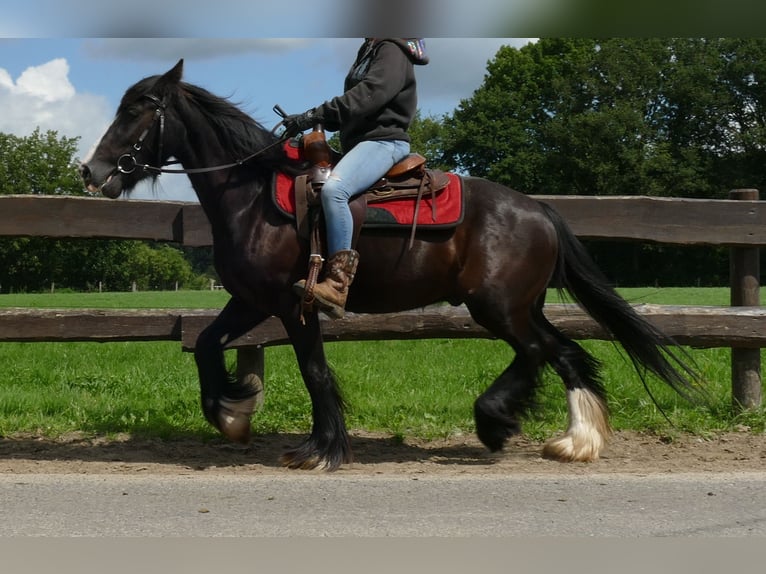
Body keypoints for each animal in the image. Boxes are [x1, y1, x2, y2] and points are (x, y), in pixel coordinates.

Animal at [79, 59, 708, 472]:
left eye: (138, 110)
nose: (93, 171)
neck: (252, 196)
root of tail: (540, 211)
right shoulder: (251, 300)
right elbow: (208, 345)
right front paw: (233, 417)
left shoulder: (290, 304)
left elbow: (314, 371)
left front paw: (321, 449)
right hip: (519, 306)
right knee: (566, 352)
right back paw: (574, 440)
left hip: (499, 308)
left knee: (538, 353)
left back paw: (499, 422)